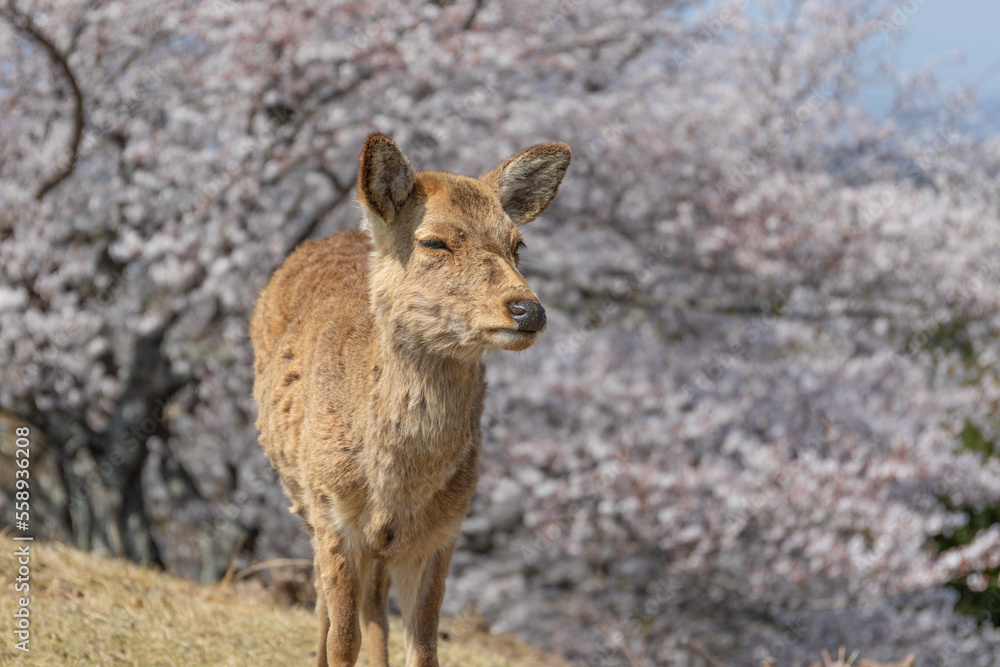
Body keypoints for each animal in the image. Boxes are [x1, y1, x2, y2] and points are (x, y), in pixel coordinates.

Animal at [250, 132, 570, 667]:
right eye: (434, 241)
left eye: (517, 244)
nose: (529, 310)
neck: (393, 488)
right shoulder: (332, 512)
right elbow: (342, 639)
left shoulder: (442, 533)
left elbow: (423, 648)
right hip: (302, 497)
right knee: (325, 605)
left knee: (376, 606)